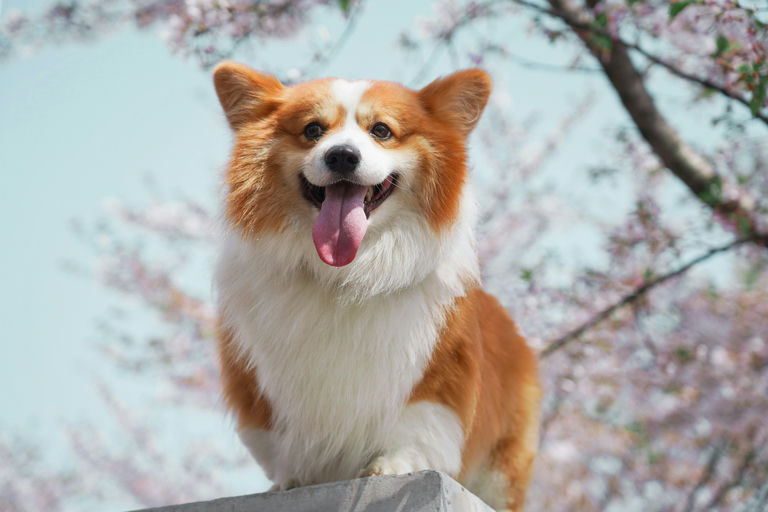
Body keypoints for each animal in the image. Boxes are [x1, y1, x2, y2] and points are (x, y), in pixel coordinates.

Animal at [213, 62, 544, 510]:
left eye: (382, 130)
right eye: (313, 130)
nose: (341, 155)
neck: (346, 273)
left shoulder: (436, 375)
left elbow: (414, 427)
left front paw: (391, 466)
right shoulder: (261, 385)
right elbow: (284, 445)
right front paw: (290, 482)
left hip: (501, 467)